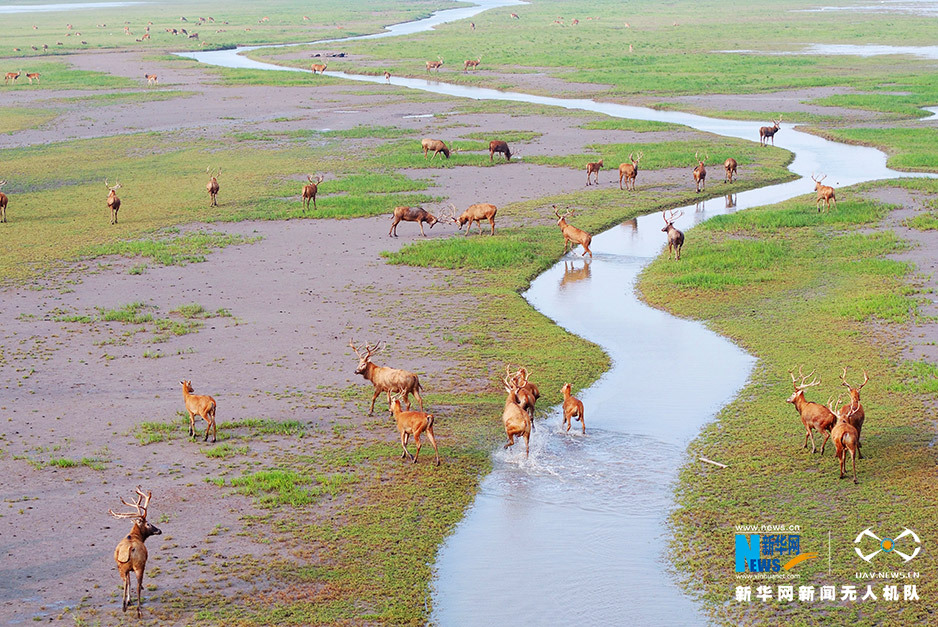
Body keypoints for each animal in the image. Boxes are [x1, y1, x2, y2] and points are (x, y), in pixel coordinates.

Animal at [109, 486, 162, 620]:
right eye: (148, 523)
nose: (159, 530)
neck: (136, 536)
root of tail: (130, 548)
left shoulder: (126, 569)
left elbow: (128, 582)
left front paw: (128, 601)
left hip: (121, 566)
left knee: (125, 582)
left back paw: (124, 606)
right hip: (139, 565)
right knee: (138, 586)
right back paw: (139, 611)